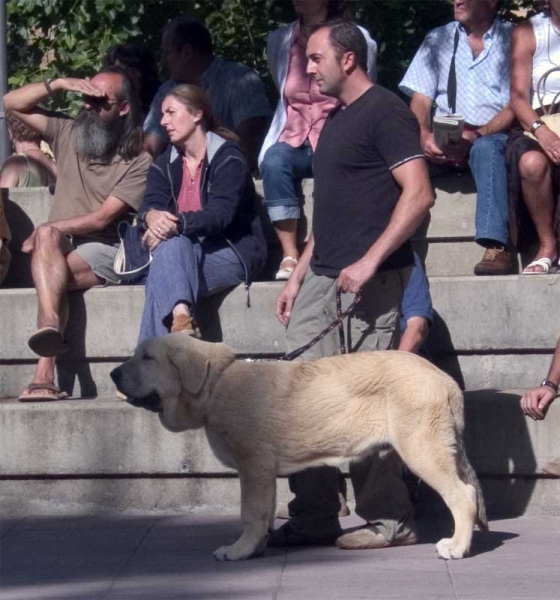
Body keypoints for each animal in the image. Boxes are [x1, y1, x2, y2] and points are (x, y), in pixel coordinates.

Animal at [109, 332, 486, 564]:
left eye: (147, 357)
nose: (112, 374)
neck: (216, 384)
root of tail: (446, 380)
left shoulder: (253, 465)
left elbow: (250, 512)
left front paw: (237, 550)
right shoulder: (262, 472)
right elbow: (262, 513)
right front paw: (256, 548)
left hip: (423, 448)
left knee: (462, 495)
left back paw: (457, 547)